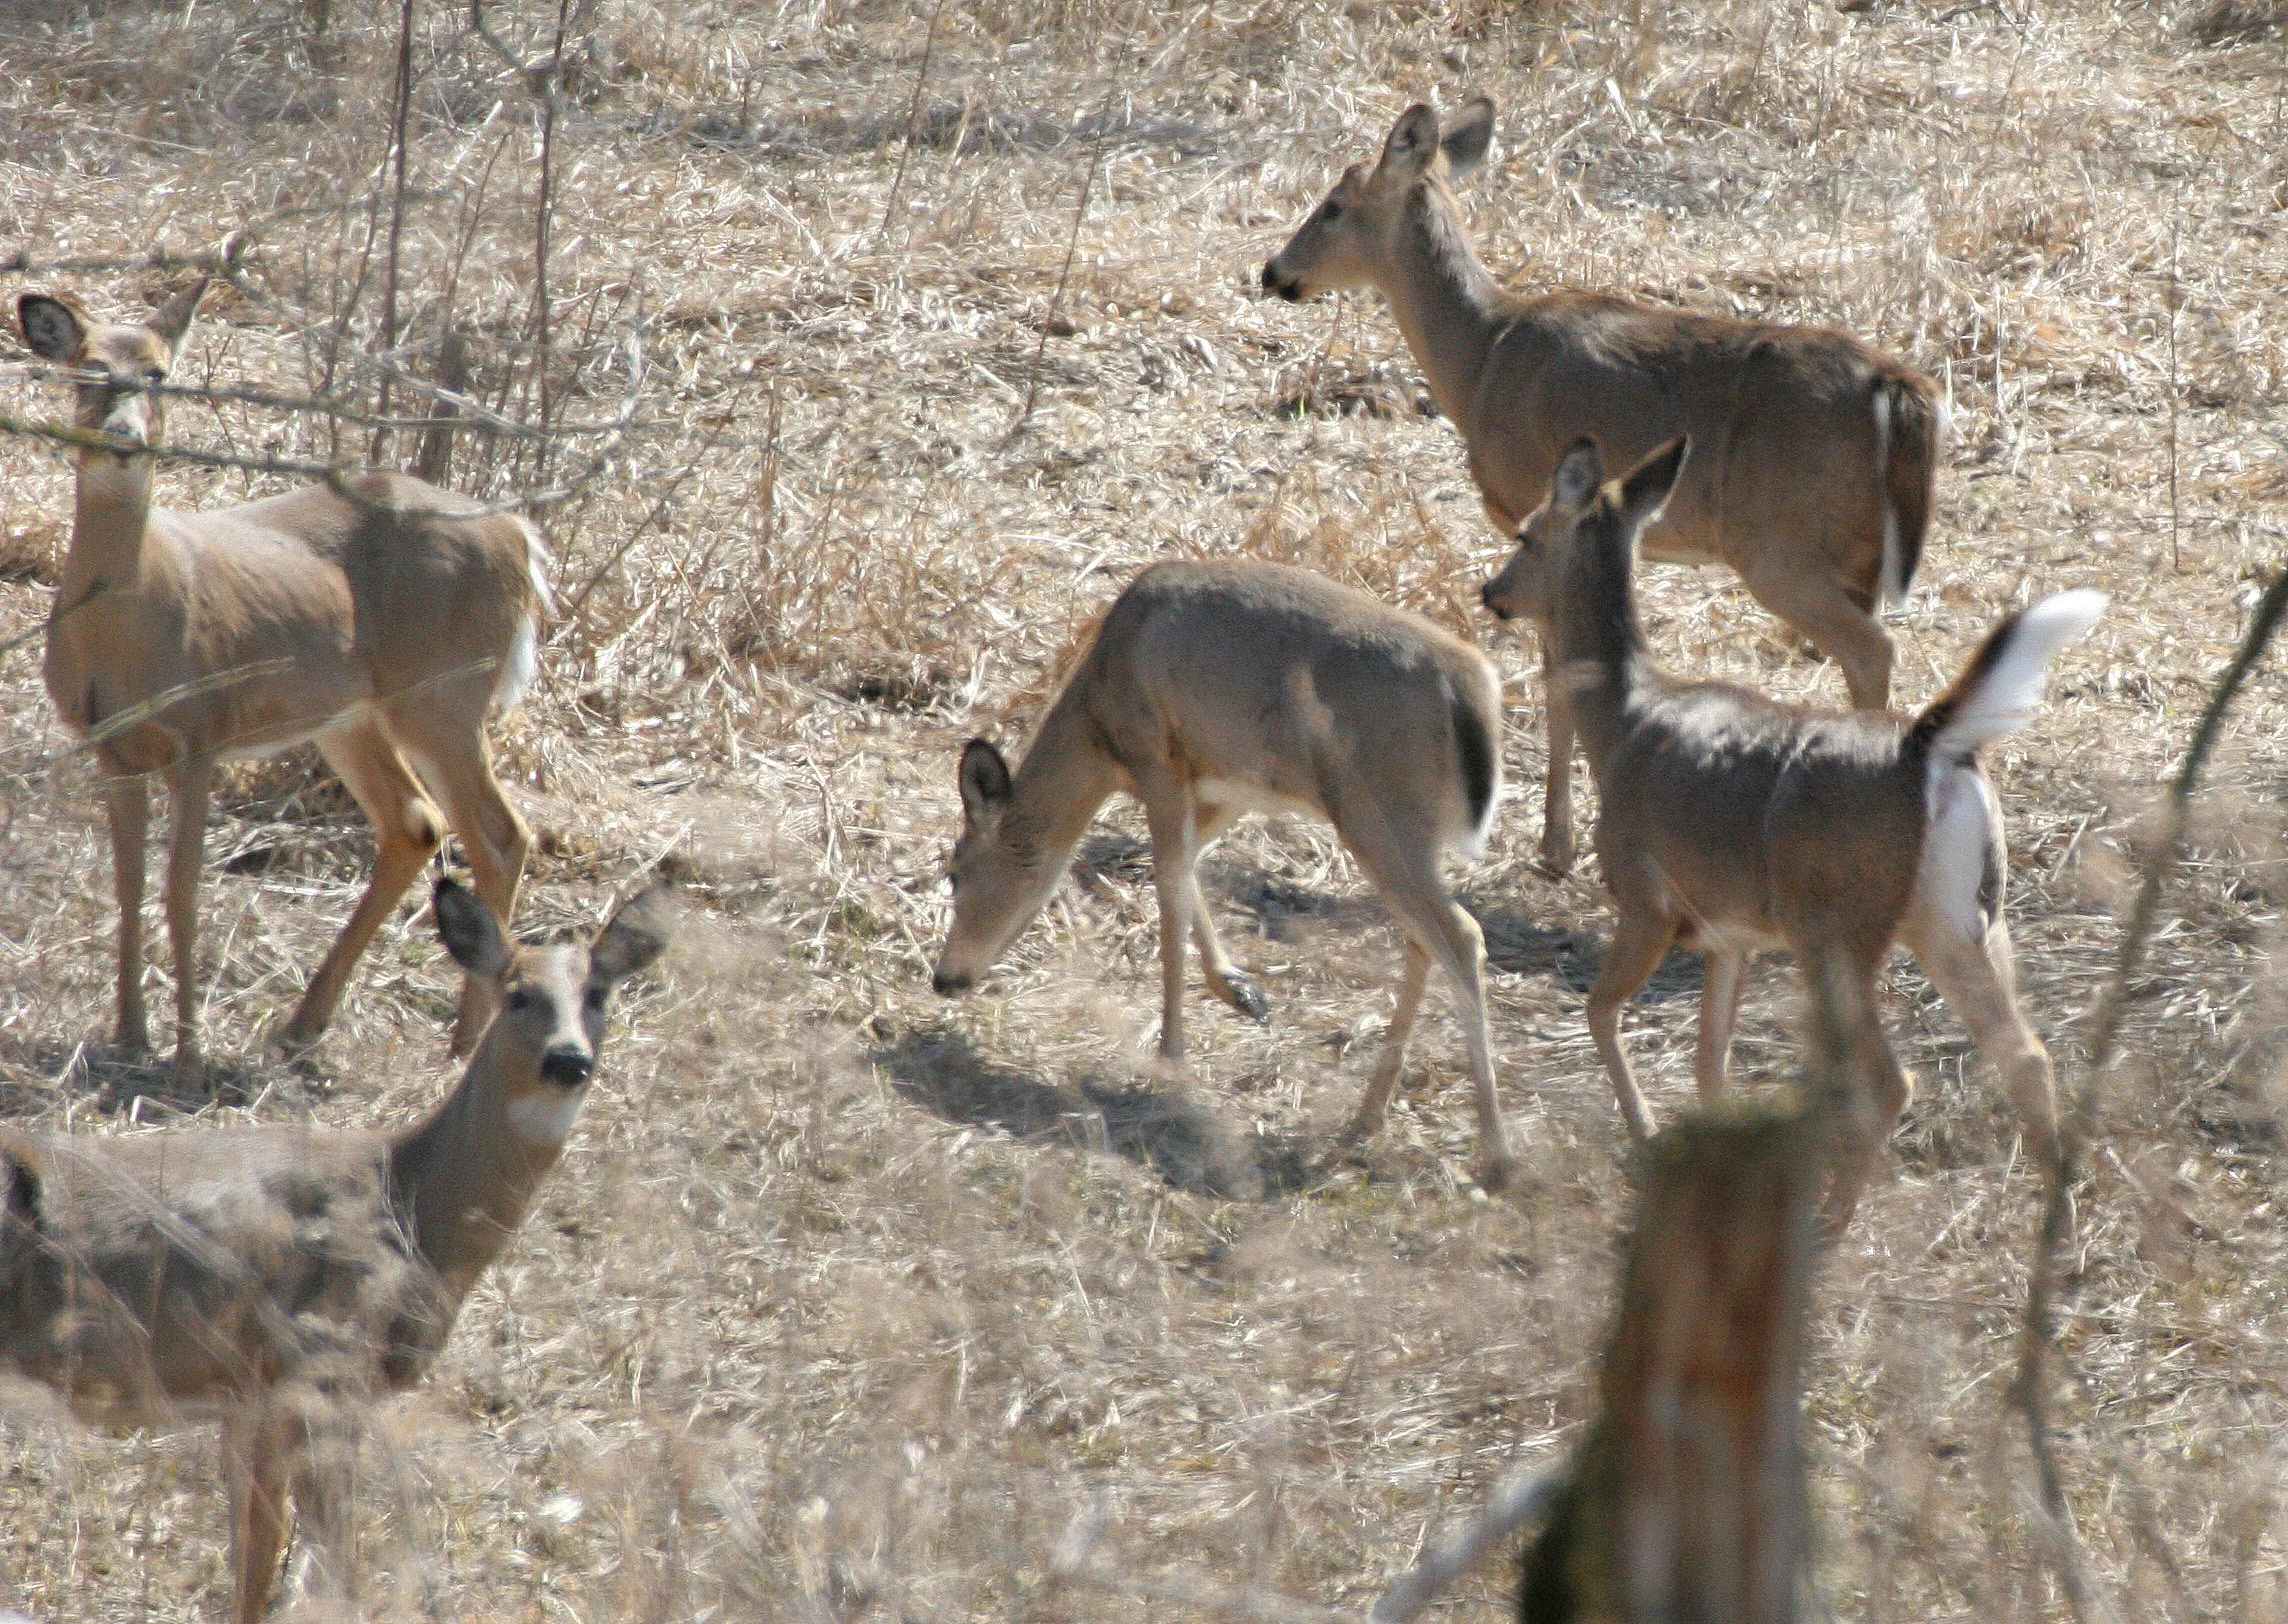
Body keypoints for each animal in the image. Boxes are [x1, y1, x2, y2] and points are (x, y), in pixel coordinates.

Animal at [0, 874, 671, 1624]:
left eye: (598, 993)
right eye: (518, 992)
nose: (568, 1059)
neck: (411, 1202)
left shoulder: (252, 1397)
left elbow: (257, 1559)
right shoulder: (322, 1369)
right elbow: (332, 1564)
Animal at [14, 282, 553, 1088]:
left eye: (160, 373)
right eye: (88, 369)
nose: (125, 438)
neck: (129, 621)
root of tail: (521, 534)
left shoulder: (200, 734)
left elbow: (182, 890)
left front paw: (187, 1058)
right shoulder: (112, 748)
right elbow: (128, 887)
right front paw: (129, 1038)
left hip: (442, 694)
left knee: (501, 833)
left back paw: (465, 1041)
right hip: (350, 718)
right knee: (417, 822)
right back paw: (302, 1029)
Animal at [930, 558, 1519, 1190]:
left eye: (956, 872)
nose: (945, 978)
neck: (1099, 716)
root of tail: (1475, 688)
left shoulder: (1158, 761)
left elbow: (1167, 885)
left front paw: (1170, 1056)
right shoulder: (1226, 785)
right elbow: (1186, 869)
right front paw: (1240, 990)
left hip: (1377, 817)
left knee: (1460, 935)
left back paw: (1496, 1158)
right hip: (1403, 834)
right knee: (1423, 939)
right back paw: (1366, 1119)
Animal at [1262, 95, 1946, 876]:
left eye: (1334, 205)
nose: (1274, 270)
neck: (1480, 357)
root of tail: (1898, 386)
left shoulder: (1538, 513)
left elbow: (1558, 674)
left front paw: (1554, 845)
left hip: (1781, 548)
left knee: (1872, 650)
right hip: (1856, 554)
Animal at [1481, 435, 2102, 1225]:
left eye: (1527, 535)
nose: (1492, 593)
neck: (1621, 722)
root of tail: (1929, 752)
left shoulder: (1649, 897)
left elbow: (1601, 1010)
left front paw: (1646, 1133)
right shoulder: (1731, 933)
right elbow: (1709, 1057)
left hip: (1835, 924)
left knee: (1889, 1078)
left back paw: (1833, 1221)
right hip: (1963, 919)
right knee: (2025, 1053)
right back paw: (2058, 1215)